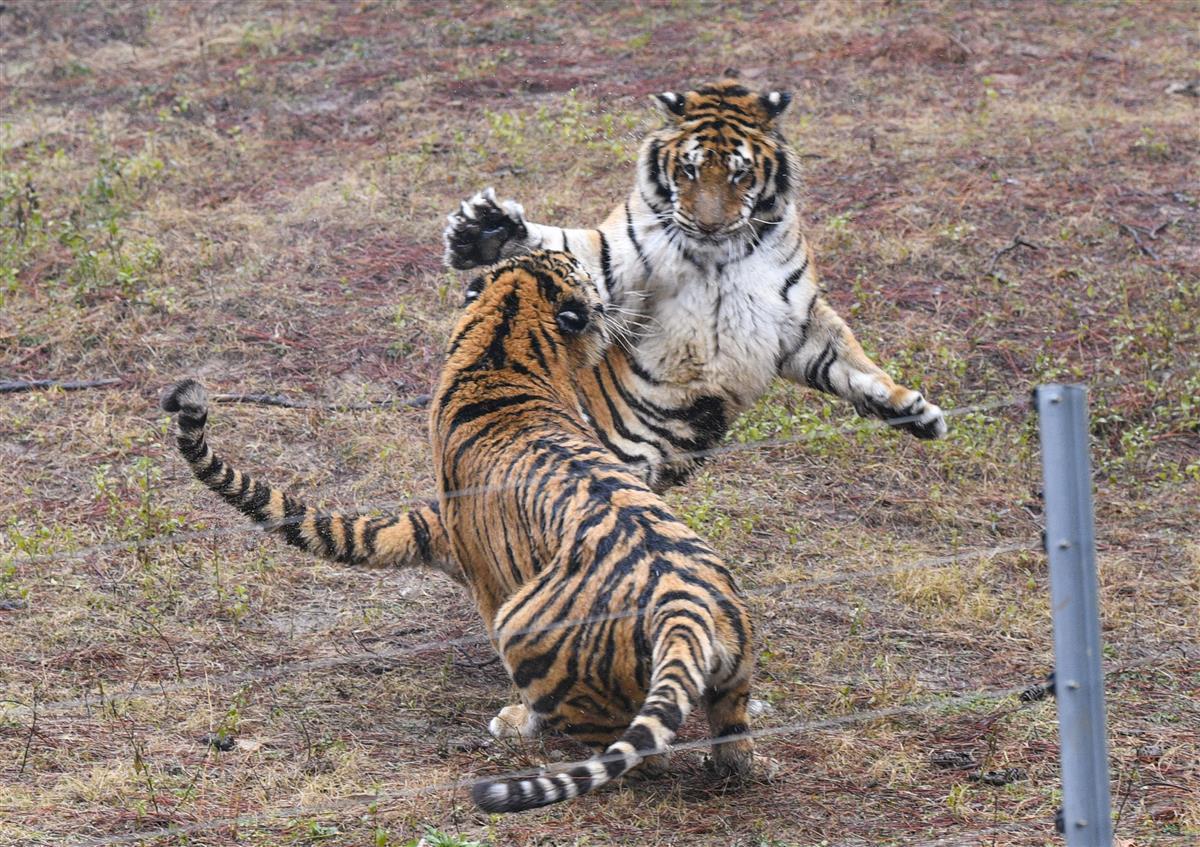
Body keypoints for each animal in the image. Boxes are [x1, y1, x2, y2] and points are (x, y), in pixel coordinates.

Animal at [429, 247, 748, 806]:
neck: (503, 347)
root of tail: (681, 601)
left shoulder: (484, 576)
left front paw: (514, 719)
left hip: (522, 628)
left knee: (640, 755)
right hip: (733, 667)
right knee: (733, 744)